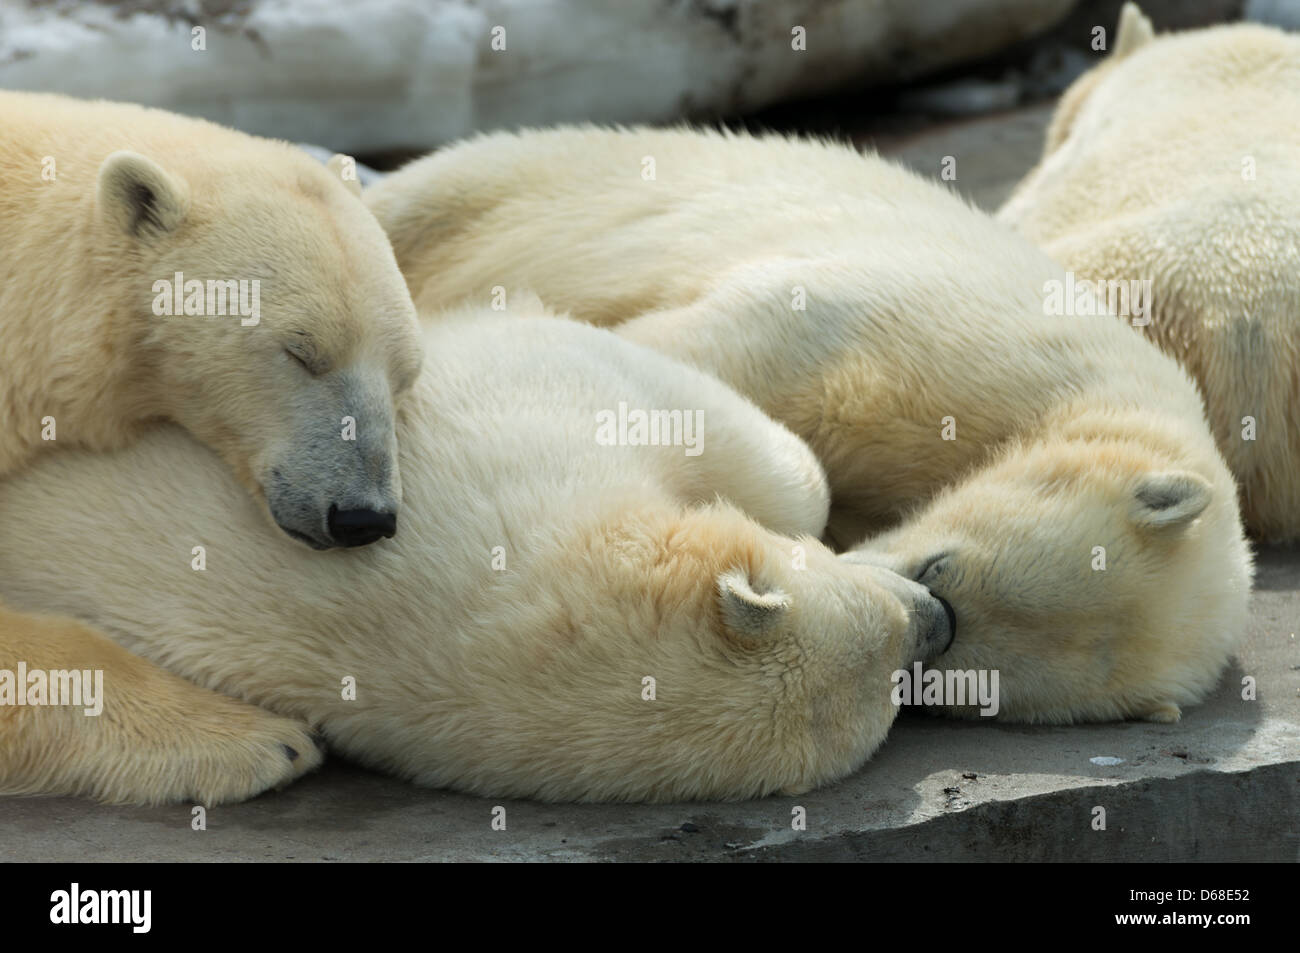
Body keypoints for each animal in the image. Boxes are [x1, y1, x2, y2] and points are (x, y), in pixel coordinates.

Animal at [361, 124, 1253, 722]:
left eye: (961, 679)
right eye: (940, 566)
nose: (926, 622)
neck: (1081, 399)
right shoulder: (953, 342)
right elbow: (732, 351)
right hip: (493, 187)